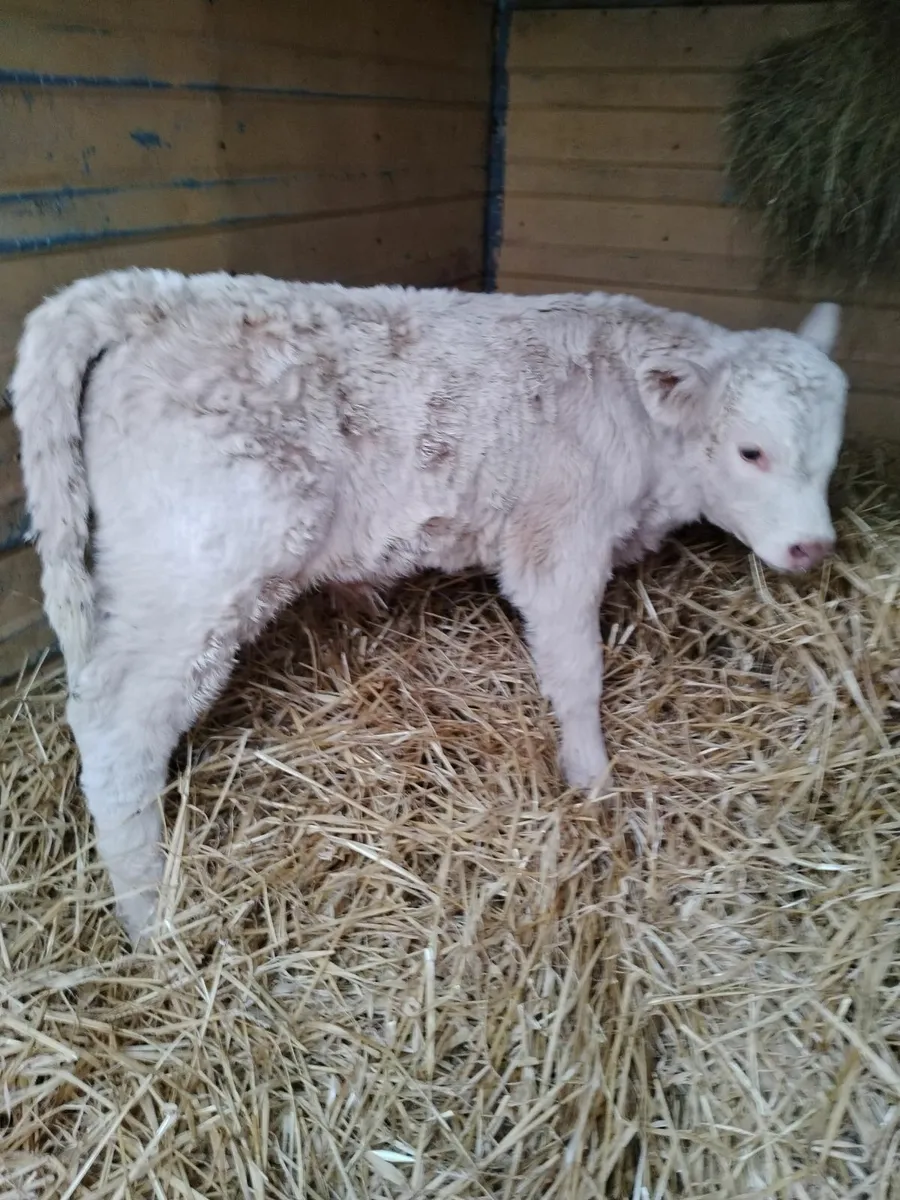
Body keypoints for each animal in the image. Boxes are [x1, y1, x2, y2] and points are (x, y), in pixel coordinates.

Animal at [9, 269, 846, 942]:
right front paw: (593, 780)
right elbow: (577, 674)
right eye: (751, 451)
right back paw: (150, 916)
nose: (813, 547)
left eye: (830, 456)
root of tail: (151, 291)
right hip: (194, 571)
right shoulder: (558, 543)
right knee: (116, 729)